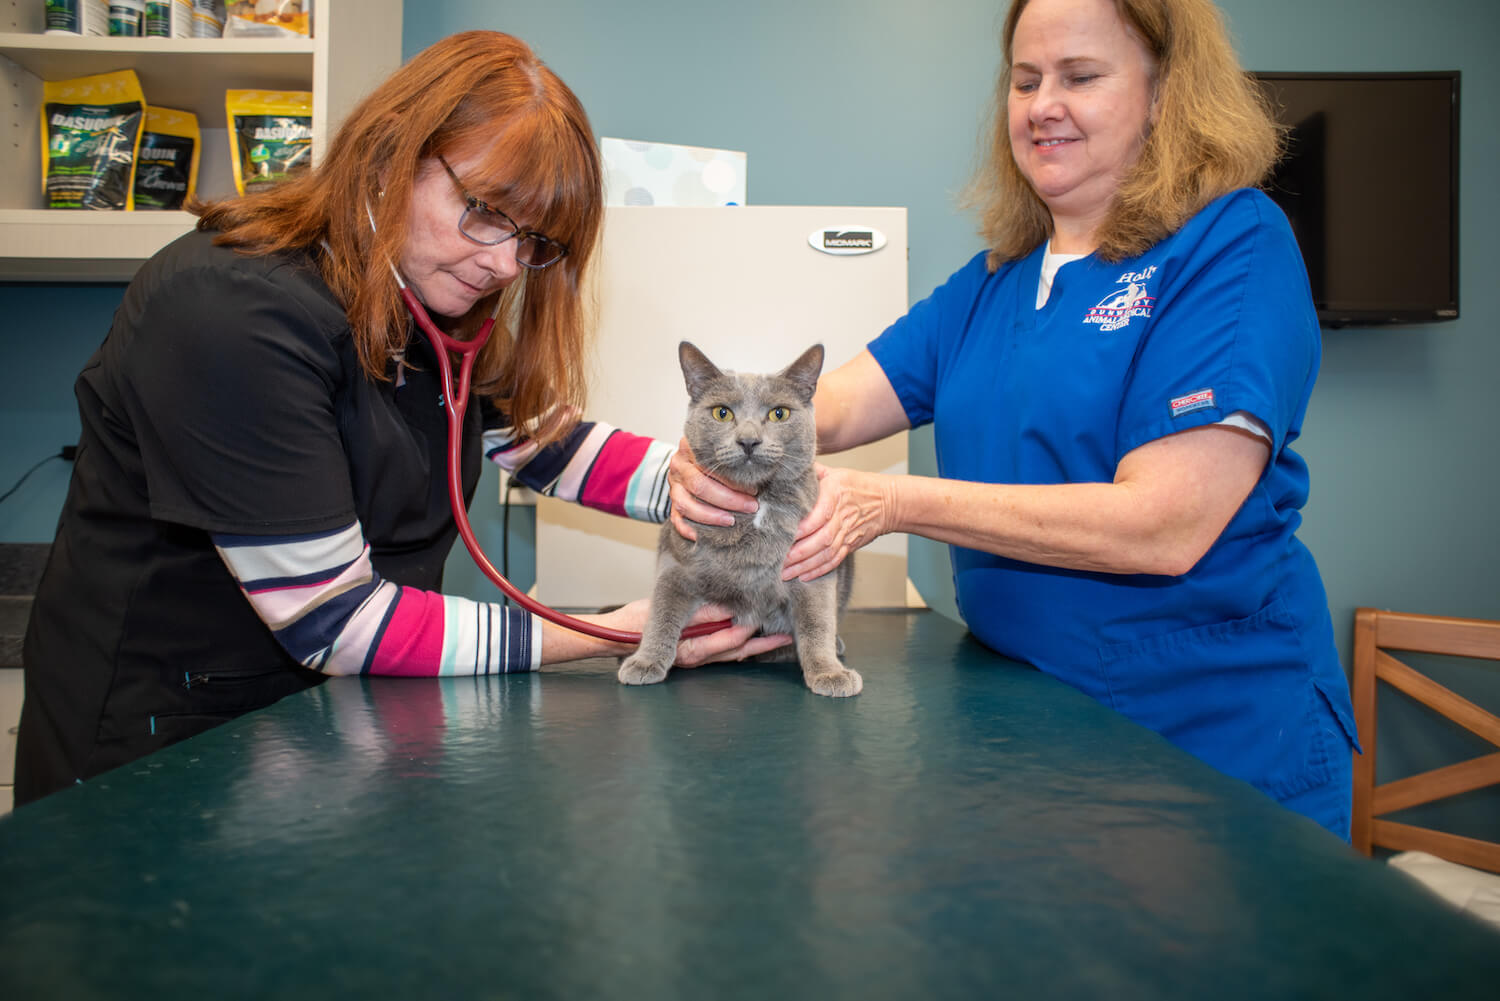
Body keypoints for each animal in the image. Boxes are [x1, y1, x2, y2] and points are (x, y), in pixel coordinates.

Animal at [615, 342, 864, 696]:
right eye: (722, 413)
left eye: (779, 413)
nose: (748, 440)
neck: (755, 505)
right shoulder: (675, 564)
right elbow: (661, 613)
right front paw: (645, 661)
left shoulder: (813, 569)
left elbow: (817, 622)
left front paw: (829, 673)